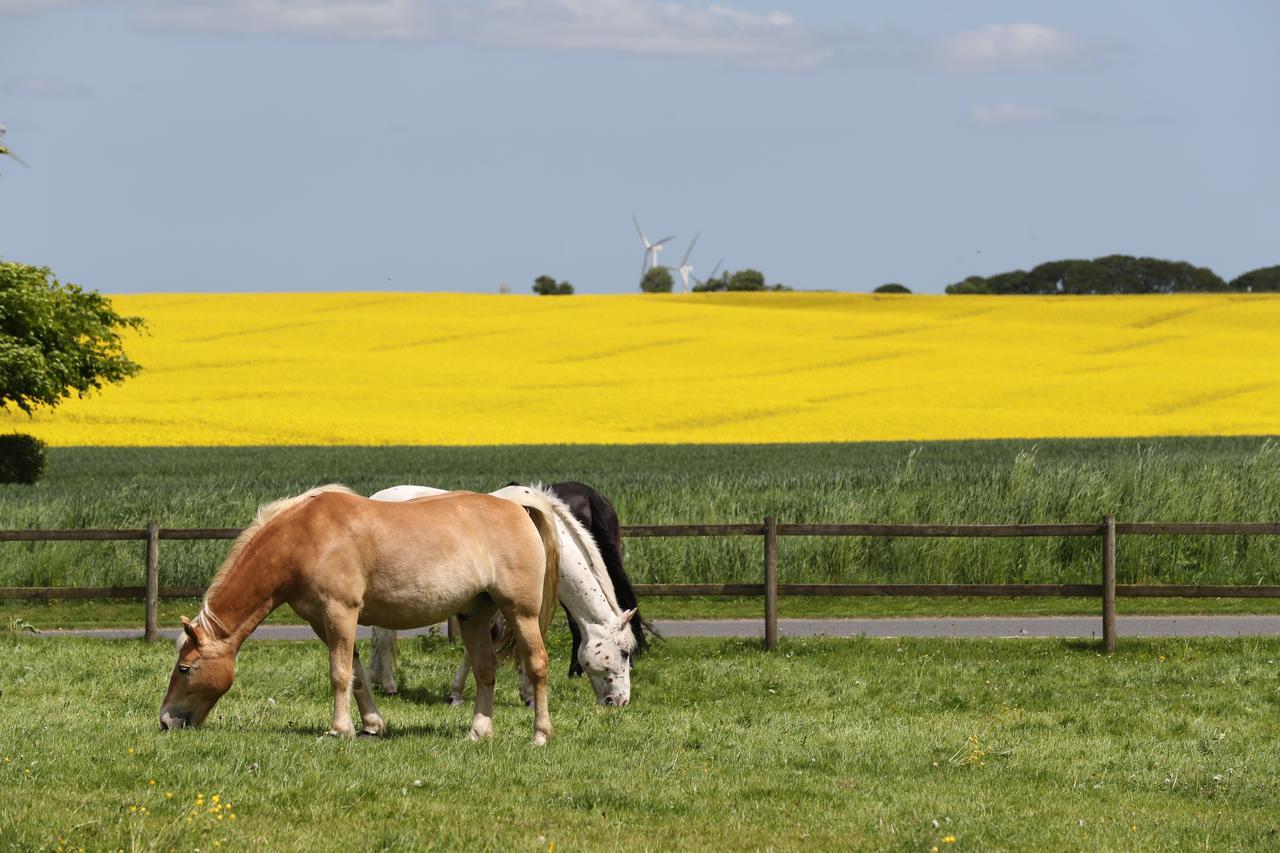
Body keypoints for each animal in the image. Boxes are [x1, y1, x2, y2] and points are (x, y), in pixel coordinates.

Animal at [158, 484, 560, 742]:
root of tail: (518, 509)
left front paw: (339, 729)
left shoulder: (340, 613)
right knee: (485, 670)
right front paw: (370, 725)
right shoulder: (323, 622)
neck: (304, 537)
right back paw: (478, 731)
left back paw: (540, 735)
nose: (164, 721)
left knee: (538, 664)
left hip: (520, 613)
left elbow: (338, 674)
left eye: (185, 668)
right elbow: (356, 674)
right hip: (473, 614)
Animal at [371, 481, 640, 706]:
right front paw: (456, 693)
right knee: (382, 637)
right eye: (625, 653)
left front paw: (528, 693)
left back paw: (375, 679)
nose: (622, 701)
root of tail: (378, 495)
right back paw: (389, 685)